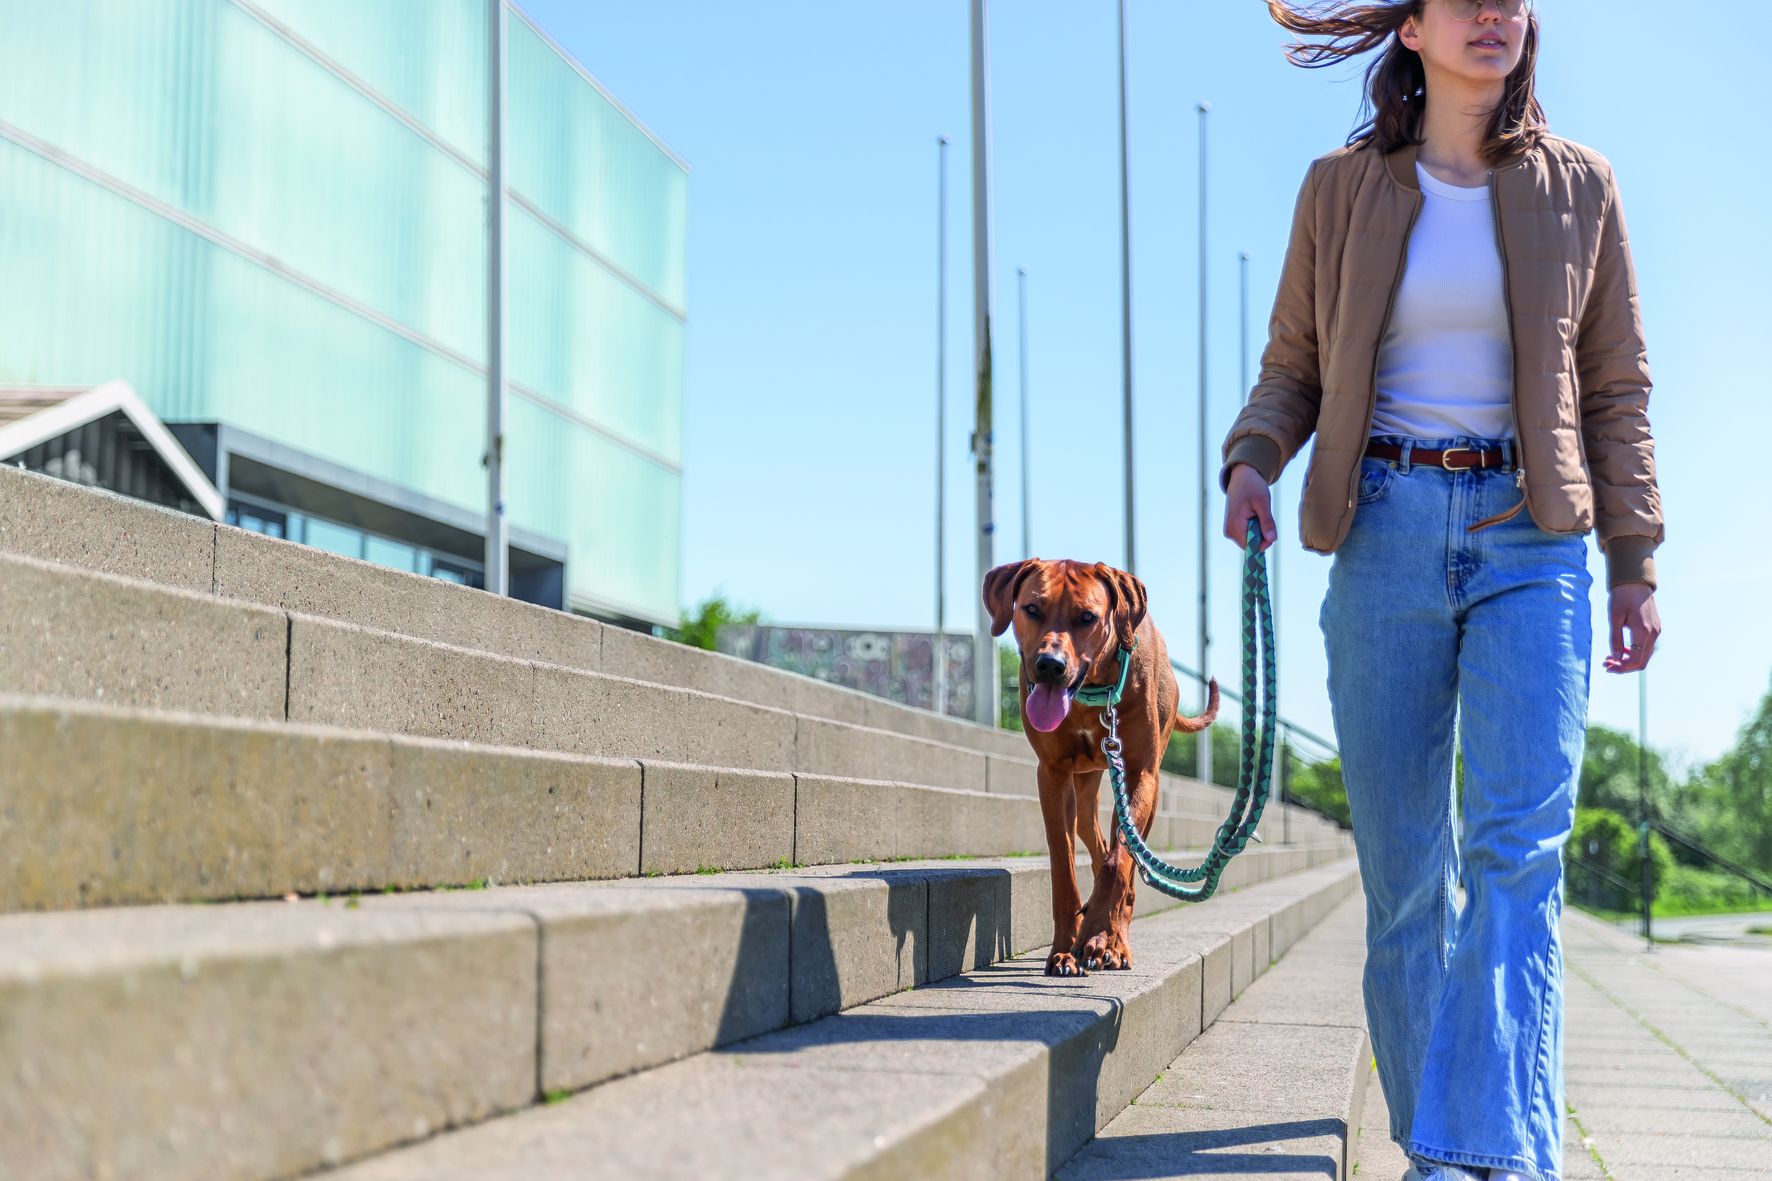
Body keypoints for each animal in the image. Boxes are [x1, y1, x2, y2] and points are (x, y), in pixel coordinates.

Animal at [984, 559, 1219, 976]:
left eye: (1087, 617)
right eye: (1032, 609)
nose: (1049, 665)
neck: (1092, 694)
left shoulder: (1140, 774)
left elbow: (1118, 862)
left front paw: (1095, 934)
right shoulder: (1052, 774)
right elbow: (1064, 868)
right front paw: (1064, 949)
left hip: (1145, 791)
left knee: (1126, 867)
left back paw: (1116, 942)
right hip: (1086, 787)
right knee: (1094, 842)